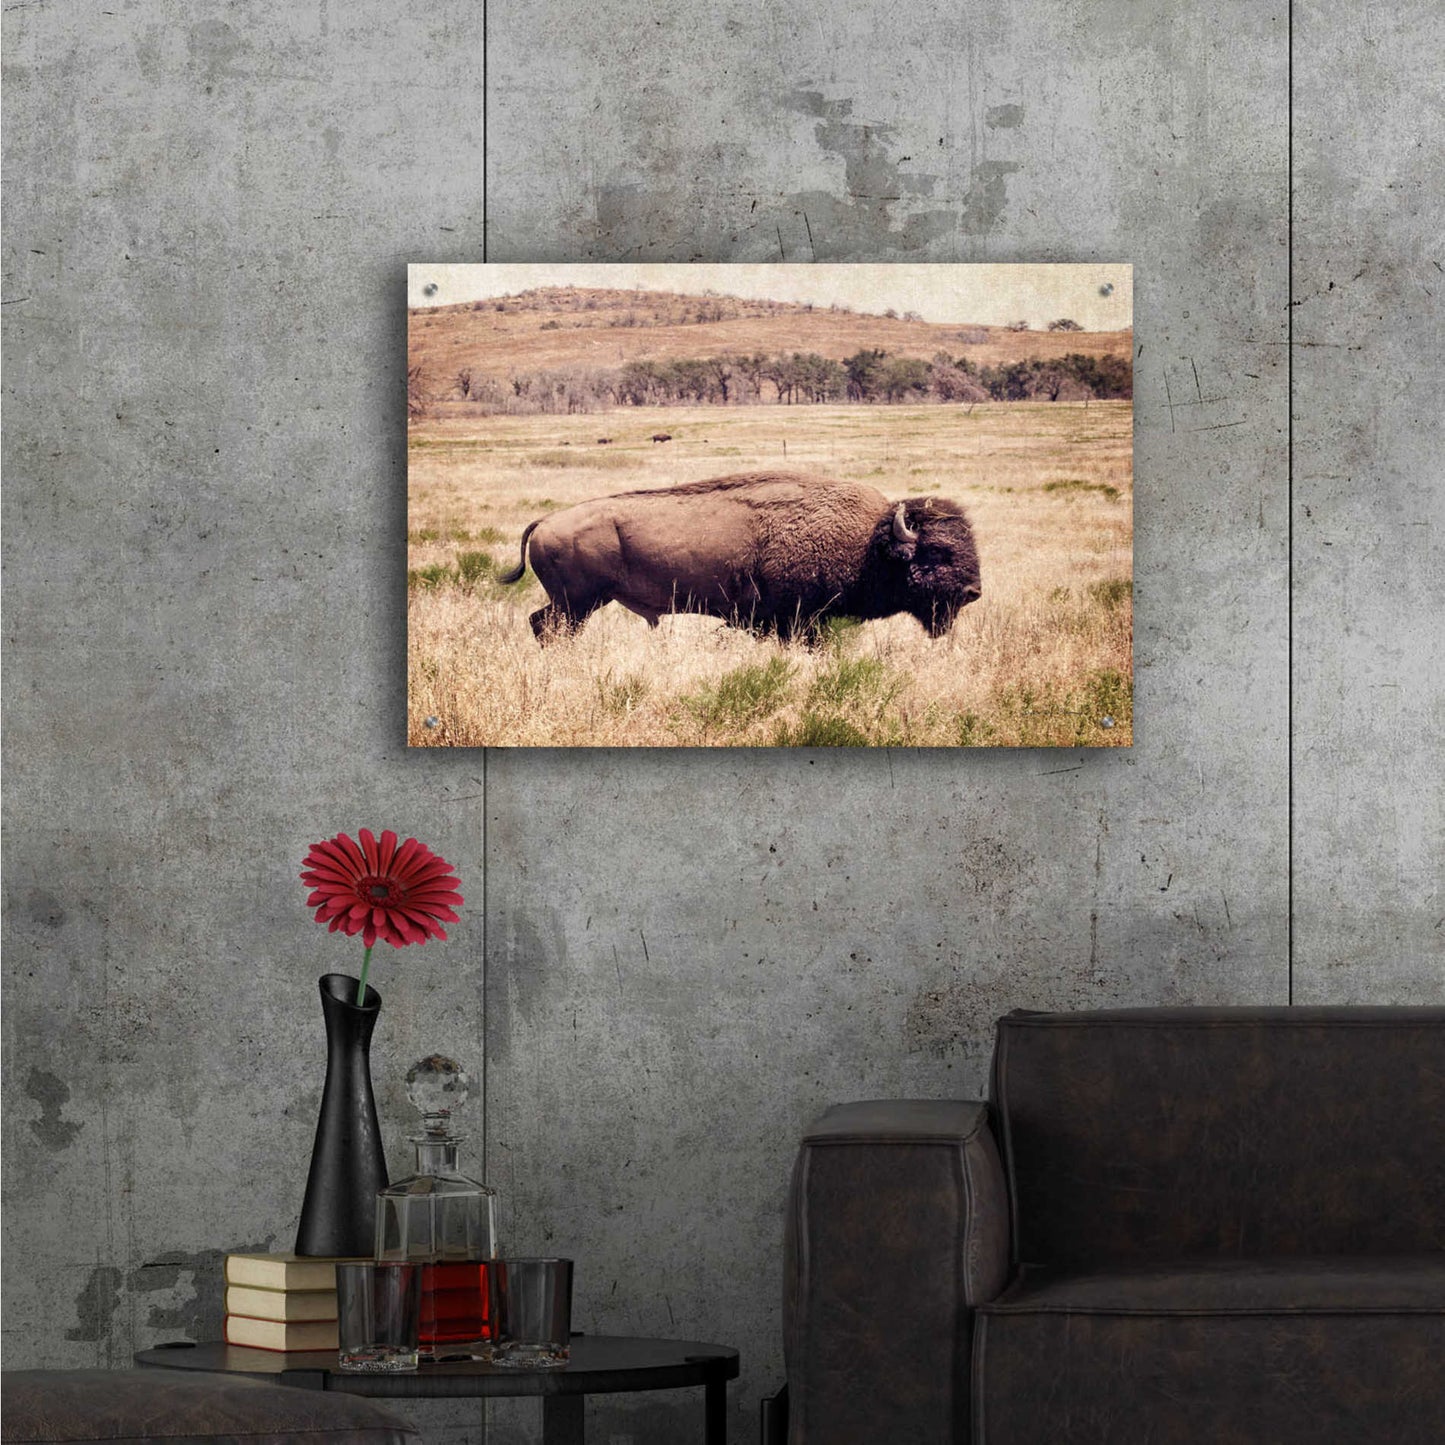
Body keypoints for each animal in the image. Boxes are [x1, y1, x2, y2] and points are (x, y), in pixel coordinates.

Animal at [498, 470, 981, 644]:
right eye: (936, 552)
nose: (974, 591)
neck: (868, 543)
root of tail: (546, 521)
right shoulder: (796, 620)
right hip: (578, 603)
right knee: (548, 627)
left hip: (576, 603)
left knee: (541, 623)